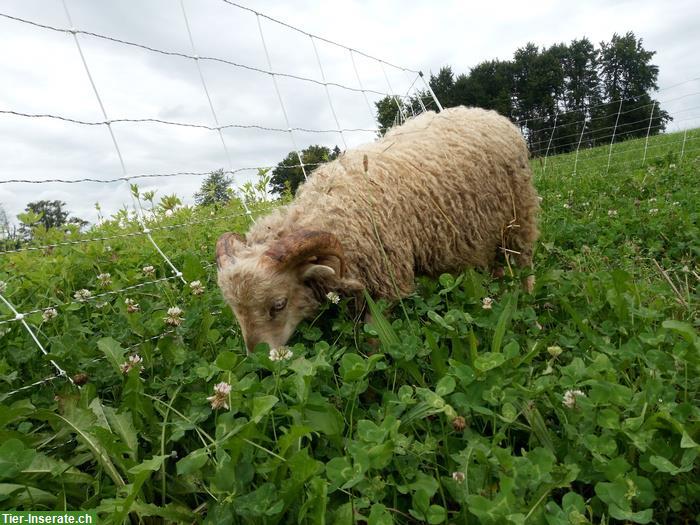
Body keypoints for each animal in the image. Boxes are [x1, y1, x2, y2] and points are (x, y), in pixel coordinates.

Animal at [216, 106, 540, 352]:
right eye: (236, 310)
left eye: (279, 304)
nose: (260, 360)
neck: (329, 209)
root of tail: (490, 114)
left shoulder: (386, 283)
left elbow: (374, 342)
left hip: (519, 216)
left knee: (524, 262)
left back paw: (530, 310)